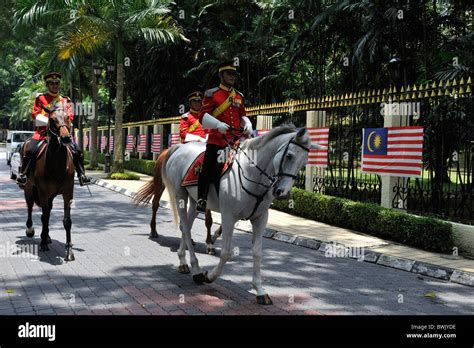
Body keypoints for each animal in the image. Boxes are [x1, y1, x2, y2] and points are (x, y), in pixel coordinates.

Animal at [135, 125, 324, 304]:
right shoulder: (228, 217)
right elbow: (226, 252)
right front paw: (209, 276)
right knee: (186, 229)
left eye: (304, 162)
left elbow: (257, 252)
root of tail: (179, 148)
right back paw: (196, 269)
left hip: (195, 201)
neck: (253, 175)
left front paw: (259, 290)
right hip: (180, 195)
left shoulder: (260, 218)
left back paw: (183, 261)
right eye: (289, 156)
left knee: (185, 225)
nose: (283, 193)